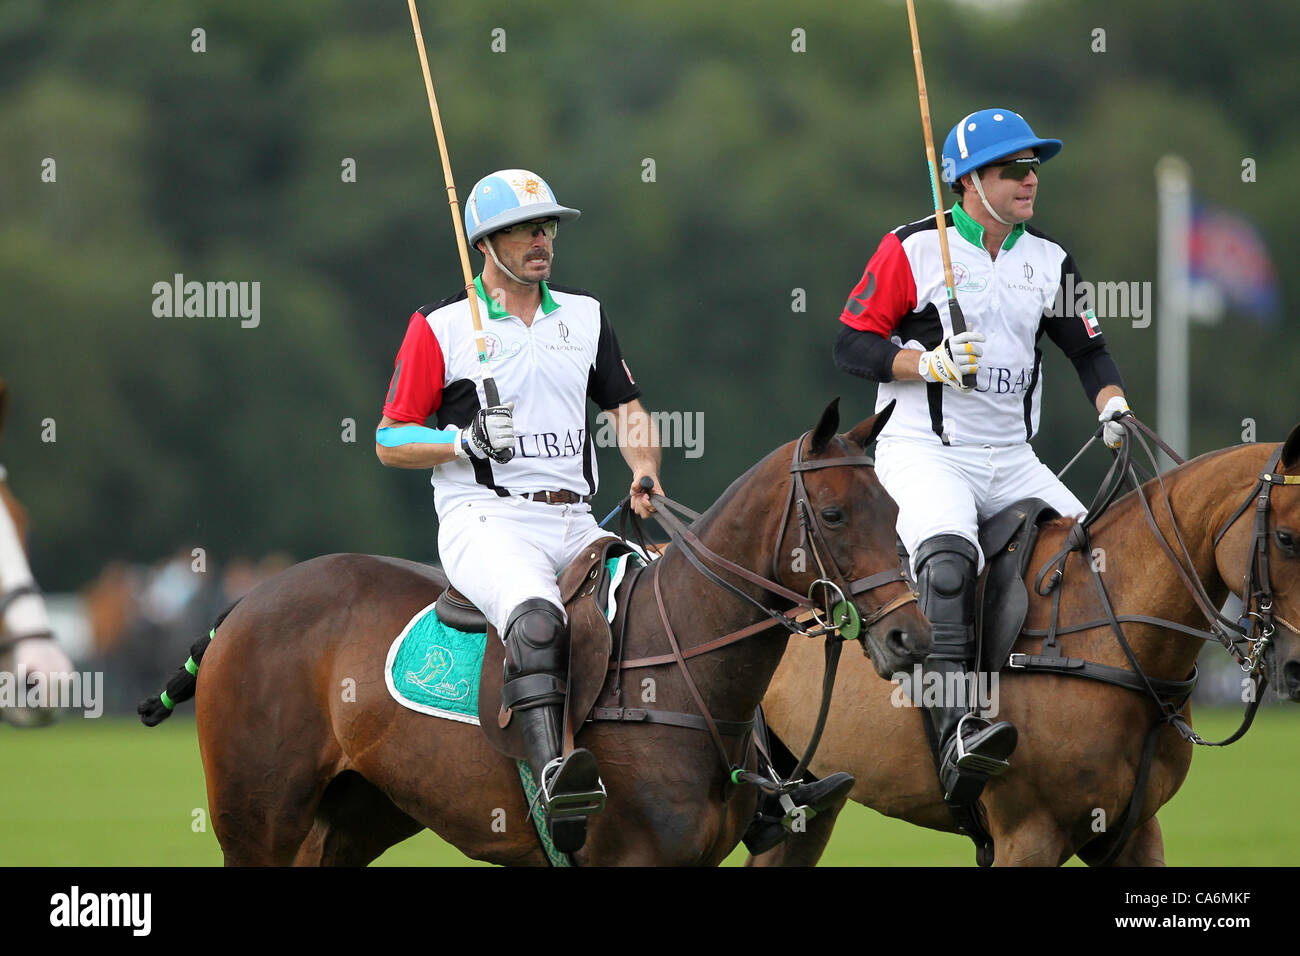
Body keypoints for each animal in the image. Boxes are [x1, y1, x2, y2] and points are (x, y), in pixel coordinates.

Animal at [147, 403, 930, 868]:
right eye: (833, 514)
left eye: (896, 508)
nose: (910, 639)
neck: (683, 673)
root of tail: (244, 602)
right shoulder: (629, 861)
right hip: (257, 821)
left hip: (358, 813)